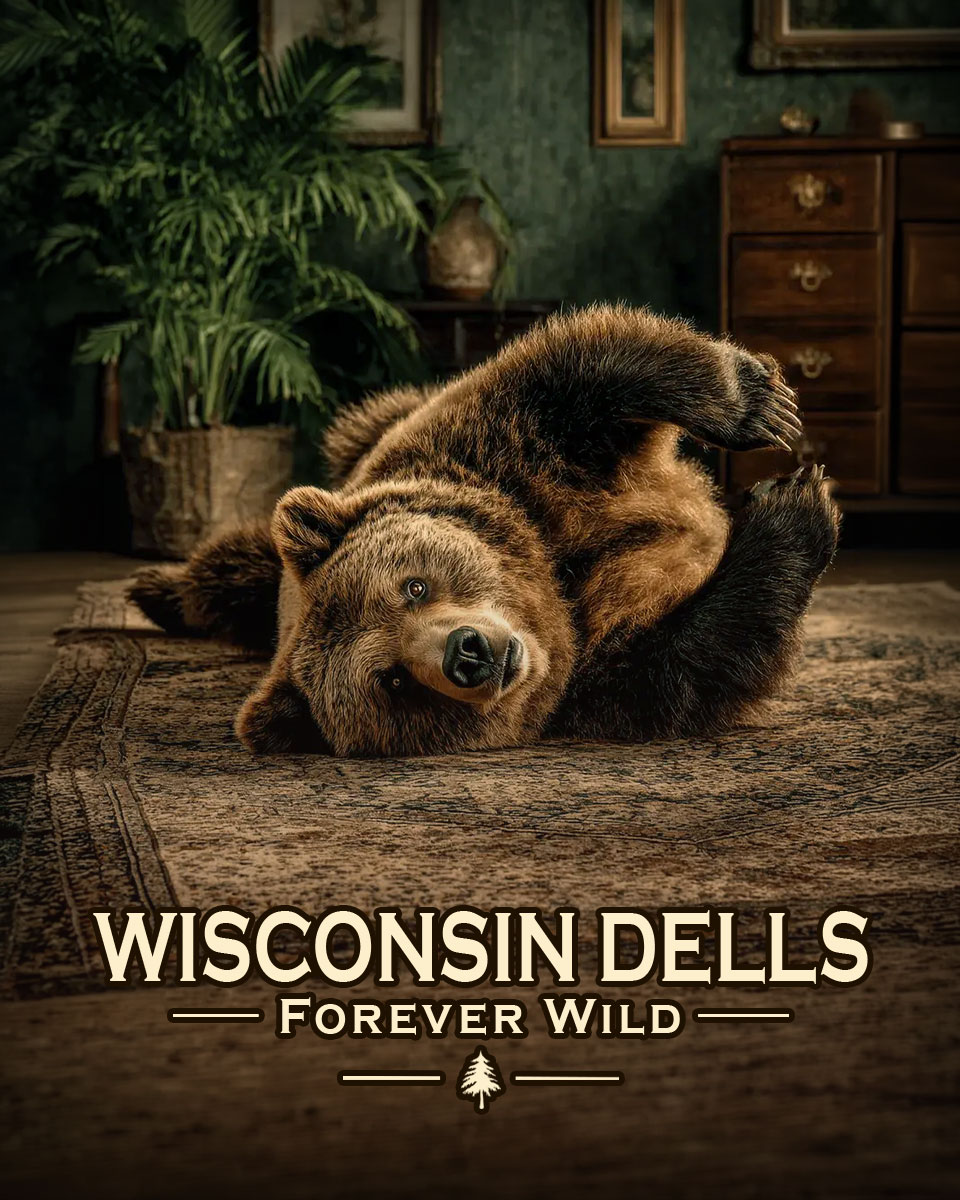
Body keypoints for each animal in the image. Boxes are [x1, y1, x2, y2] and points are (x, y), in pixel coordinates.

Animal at [129, 304, 839, 758]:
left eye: (411, 586)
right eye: (392, 681)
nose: (467, 652)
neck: (556, 579)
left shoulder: (502, 452)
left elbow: (579, 372)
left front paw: (763, 408)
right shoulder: (598, 678)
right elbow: (691, 661)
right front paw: (793, 508)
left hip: (361, 434)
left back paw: (152, 588)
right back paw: (152, 590)